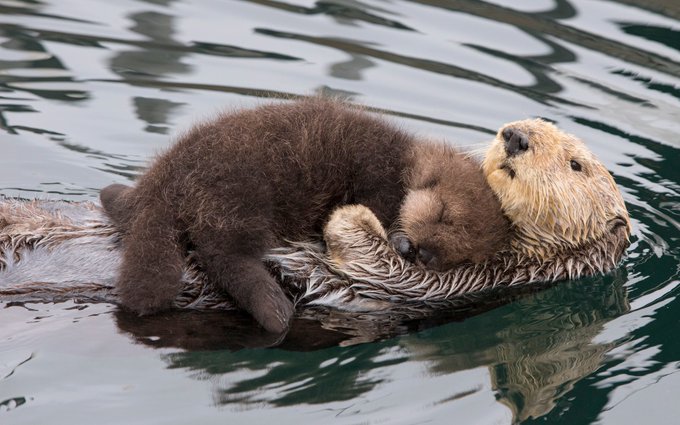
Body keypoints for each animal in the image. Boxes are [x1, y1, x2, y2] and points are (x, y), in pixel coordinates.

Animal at [99, 98, 510, 334]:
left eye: (454, 255)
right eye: (443, 215)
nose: (422, 253)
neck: (406, 162)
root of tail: (164, 185)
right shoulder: (379, 176)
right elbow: (381, 204)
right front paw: (399, 239)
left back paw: (112, 195)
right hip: (239, 197)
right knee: (225, 255)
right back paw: (274, 310)